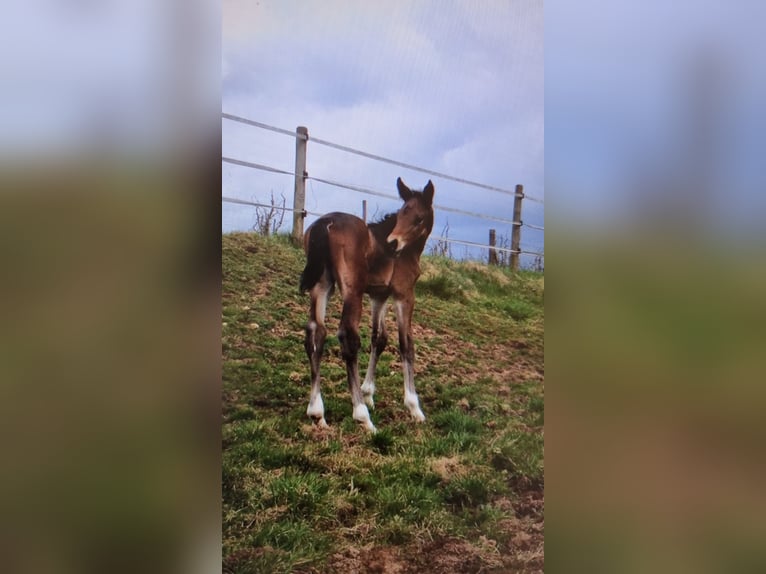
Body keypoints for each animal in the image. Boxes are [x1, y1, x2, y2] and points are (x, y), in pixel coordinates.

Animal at [300, 178, 436, 434]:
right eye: (402, 213)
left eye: (419, 218)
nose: (393, 243)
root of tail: (326, 222)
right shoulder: (404, 295)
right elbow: (406, 344)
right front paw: (414, 408)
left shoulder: (378, 296)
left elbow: (379, 338)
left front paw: (368, 393)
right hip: (351, 290)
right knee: (347, 338)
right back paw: (363, 417)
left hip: (322, 285)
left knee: (316, 332)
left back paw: (317, 412)